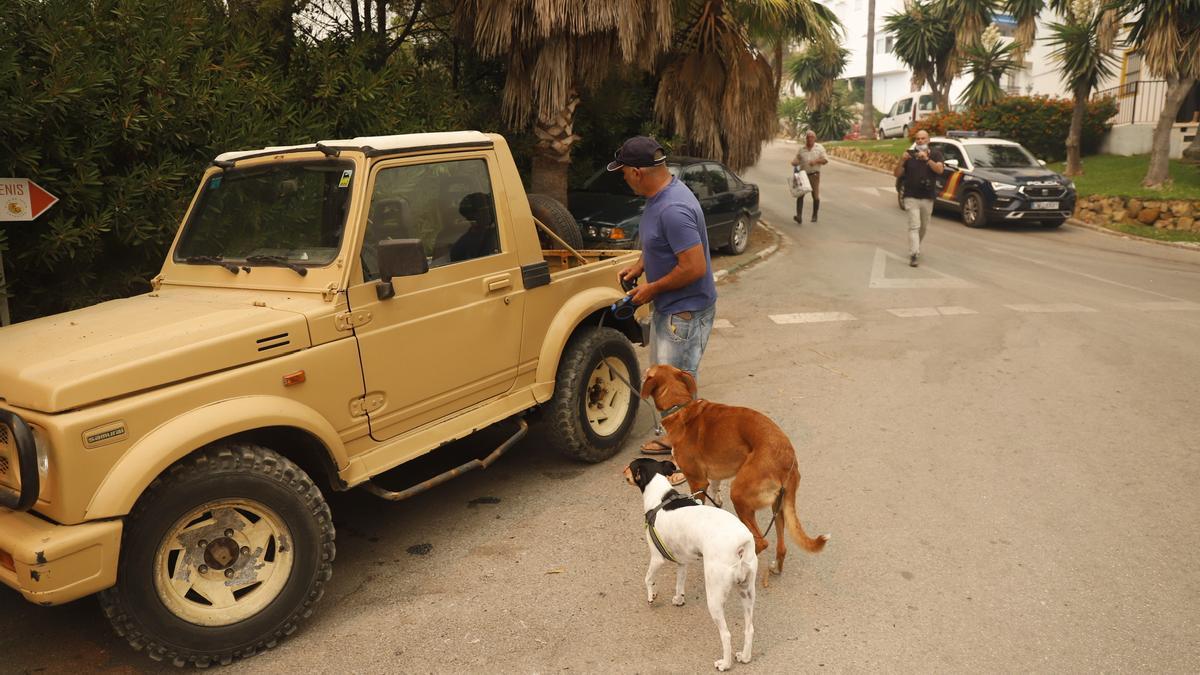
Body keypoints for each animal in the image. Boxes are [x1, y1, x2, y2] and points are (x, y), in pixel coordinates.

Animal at [628, 456, 758, 667]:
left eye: (629, 467)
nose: (622, 472)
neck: (659, 496)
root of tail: (740, 544)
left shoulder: (657, 558)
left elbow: (647, 579)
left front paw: (651, 596)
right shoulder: (682, 561)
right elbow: (679, 583)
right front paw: (679, 599)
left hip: (715, 596)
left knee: (726, 635)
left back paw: (725, 663)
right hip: (747, 592)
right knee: (749, 628)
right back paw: (745, 657)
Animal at [643, 365, 830, 581]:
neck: (680, 406)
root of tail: (787, 457)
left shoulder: (697, 481)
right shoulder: (712, 477)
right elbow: (715, 489)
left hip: (740, 495)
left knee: (761, 542)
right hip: (779, 506)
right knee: (781, 546)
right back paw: (776, 567)